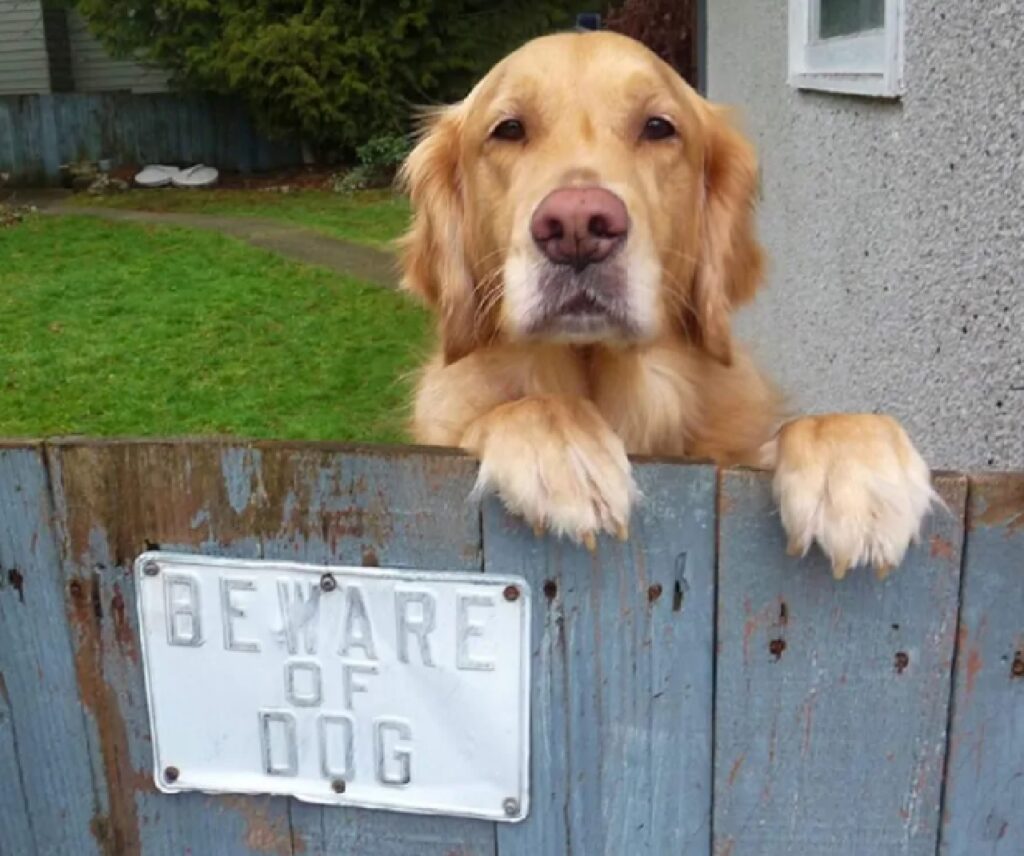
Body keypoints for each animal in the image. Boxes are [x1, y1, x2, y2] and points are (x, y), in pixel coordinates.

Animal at [397, 33, 937, 581]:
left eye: (658, 128)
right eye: (509, 129)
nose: (577, 227)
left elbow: (805, 429)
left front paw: (857, 465)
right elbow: (518, 406)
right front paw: (562, 447)